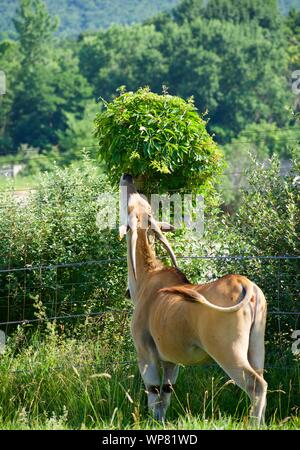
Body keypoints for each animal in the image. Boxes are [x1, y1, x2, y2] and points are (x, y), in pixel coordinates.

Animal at [119, 172, 268, 426]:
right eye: (143, 200)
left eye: (132, 204)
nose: (127, 176)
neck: (147, 279)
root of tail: (244, 283)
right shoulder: (171, 361)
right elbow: (166, 393)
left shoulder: (145, 353)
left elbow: (153, 392)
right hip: (257, 349)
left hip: (228, 353)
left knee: (256, 385)